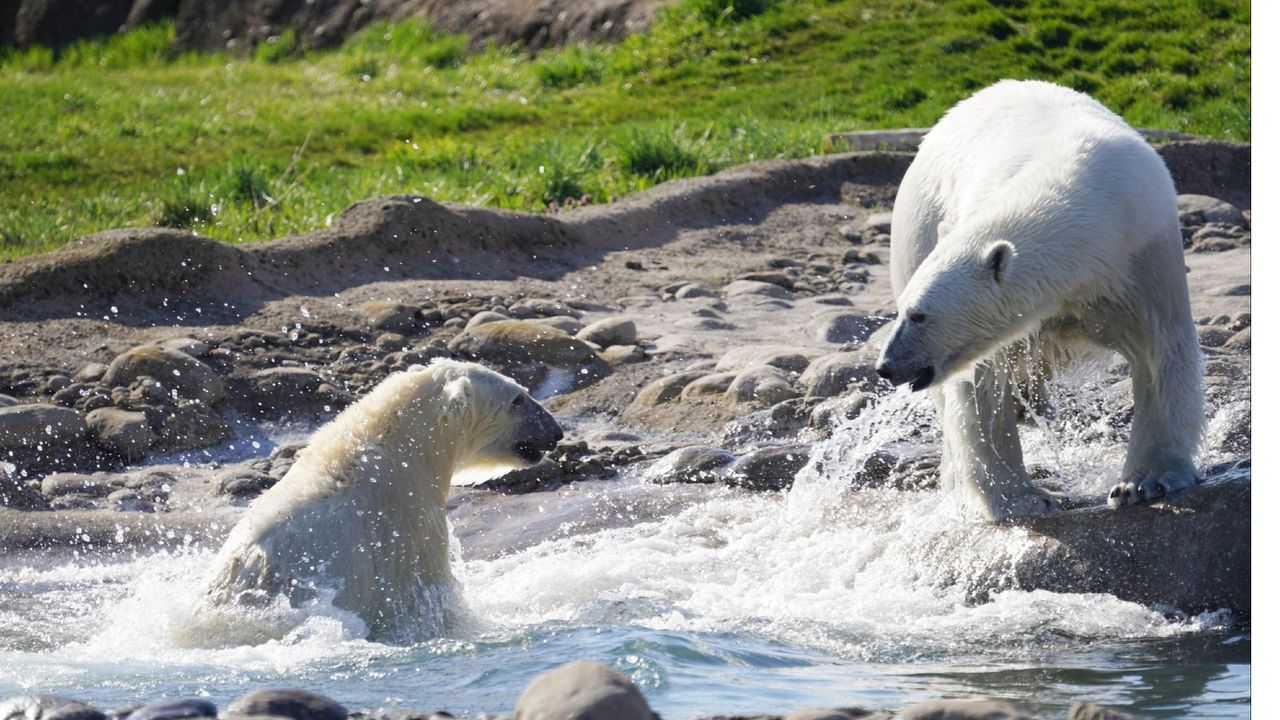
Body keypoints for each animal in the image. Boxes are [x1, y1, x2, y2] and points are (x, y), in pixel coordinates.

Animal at [874, 79, 1203, 521]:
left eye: (919, 315)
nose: (886, 367)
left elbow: (1158, 351)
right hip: (920, 227)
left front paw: (1143, 483)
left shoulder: (1142, 257)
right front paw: (1025, 498)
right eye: (903, 312)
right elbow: (982, 384)